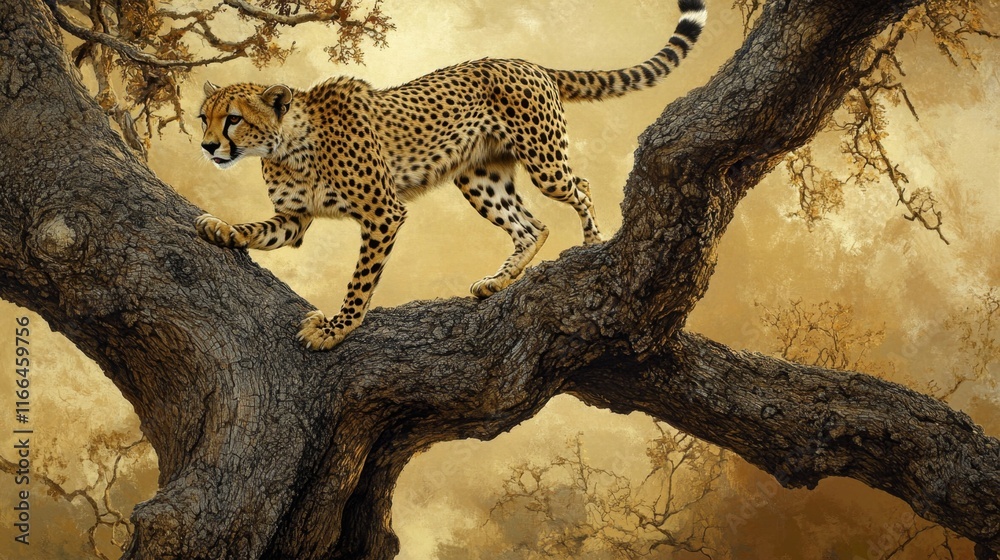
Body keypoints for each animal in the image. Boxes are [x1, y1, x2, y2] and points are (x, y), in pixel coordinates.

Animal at [194, 0, 707, 350]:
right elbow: (258, 230)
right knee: (531, 225)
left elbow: (360, 279)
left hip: (544, 163)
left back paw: (591, 243)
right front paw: (221, 227)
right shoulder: (294, 220)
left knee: (578, 187)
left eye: (233, 119)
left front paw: (338, 328)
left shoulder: (382, 213)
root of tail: (525, 61)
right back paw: (499, 281)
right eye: (204, 117)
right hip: (478, 178)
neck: (285, 147)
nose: (207, 146)